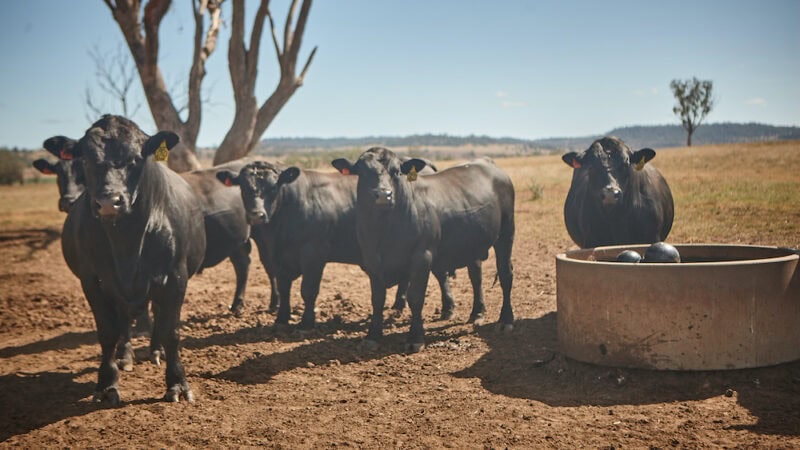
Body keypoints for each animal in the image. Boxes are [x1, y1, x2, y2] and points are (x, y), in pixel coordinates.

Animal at [332, 149, 516, 354]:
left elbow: (415, 297)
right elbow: (377, 299)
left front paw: (415, 337)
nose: (383, 195)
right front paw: (372, 336)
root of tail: (486, 163)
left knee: (505, 275)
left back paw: (505, 321)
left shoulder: (422, 257)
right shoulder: (371, 261)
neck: (385, 231)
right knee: (476, 277)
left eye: (397, 172)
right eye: (362, 172)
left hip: (506, 233)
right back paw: (477, 312)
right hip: (472, 245)